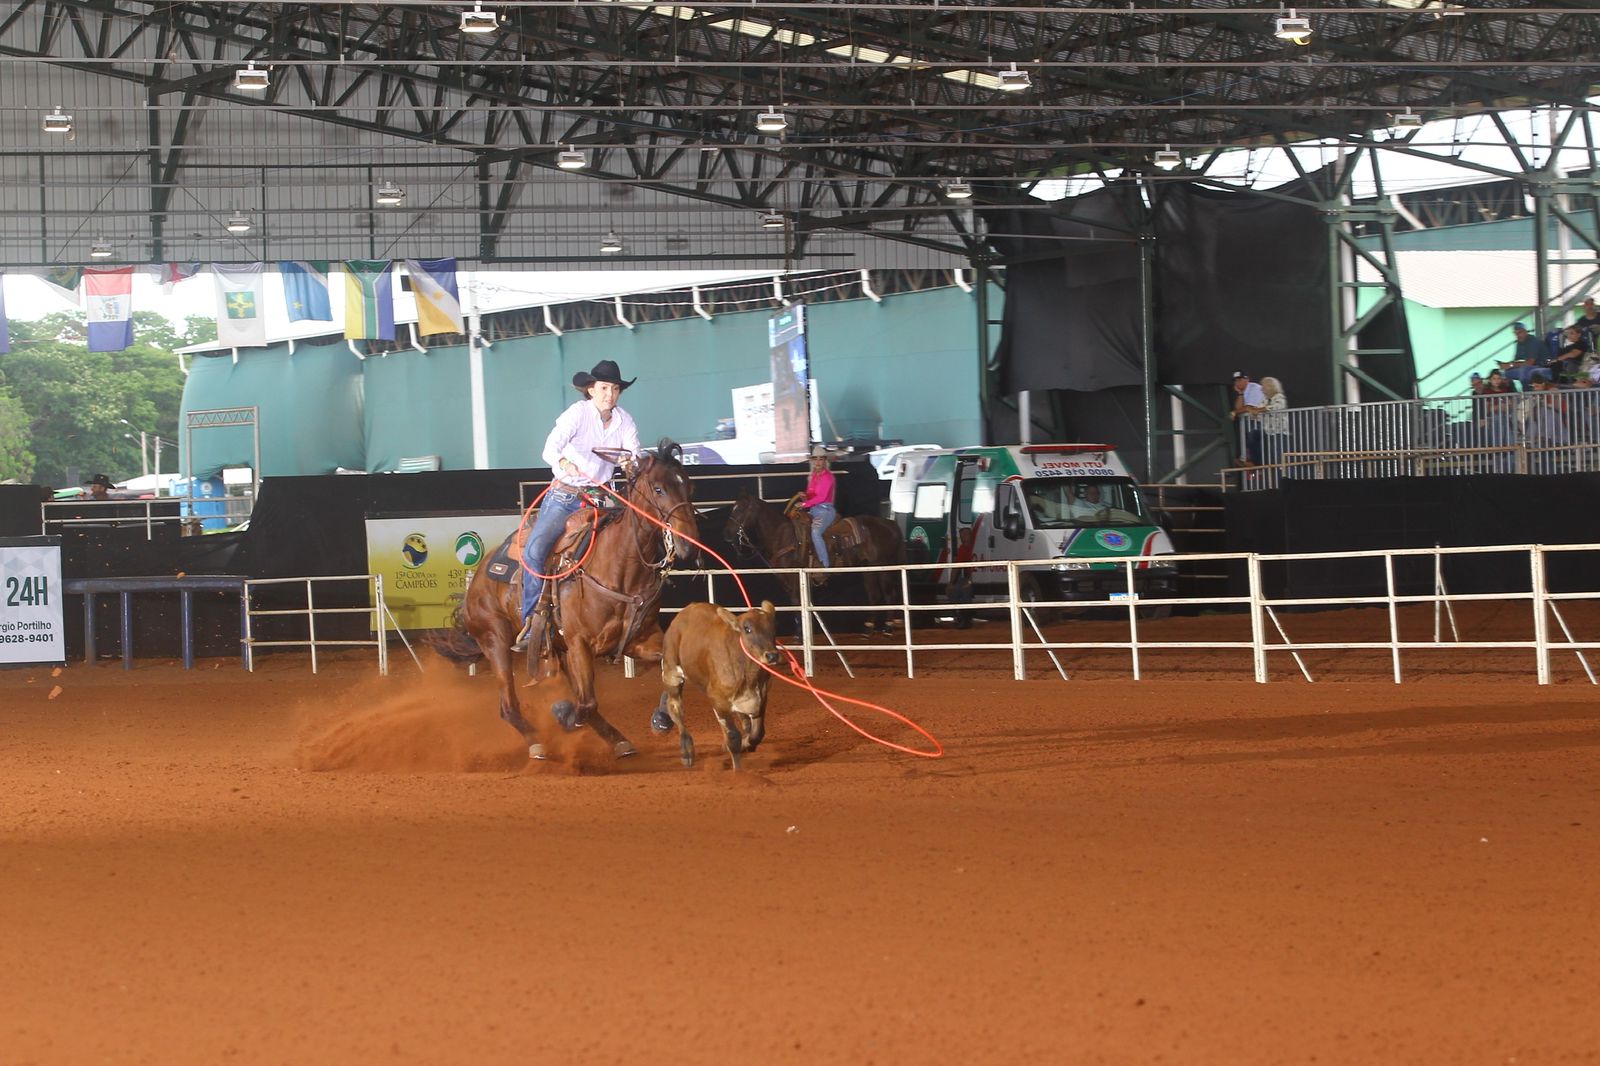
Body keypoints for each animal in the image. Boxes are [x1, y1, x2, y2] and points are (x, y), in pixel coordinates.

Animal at [432, 438, 700, 755]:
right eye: (659, 489)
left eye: (689, 488)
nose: (690, 544)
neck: (619, 569)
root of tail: (477, 579)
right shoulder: (580, 643)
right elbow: (586, 704)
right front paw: (564, 715)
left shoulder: (639, 639)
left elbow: (675, 669)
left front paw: (661, 718)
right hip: (495, 639)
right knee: (509, 705)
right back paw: (537, 742)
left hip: (559, 648)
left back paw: (619, 741)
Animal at [656, 598, 780, 765]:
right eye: (747, 629)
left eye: (773, 628)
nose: (772, 655)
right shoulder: (718, 700)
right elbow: (733, 737)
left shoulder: (762, 696)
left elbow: (757, 733)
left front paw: (746, 744)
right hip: (671, 674)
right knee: (675, 709)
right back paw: (686, 751)